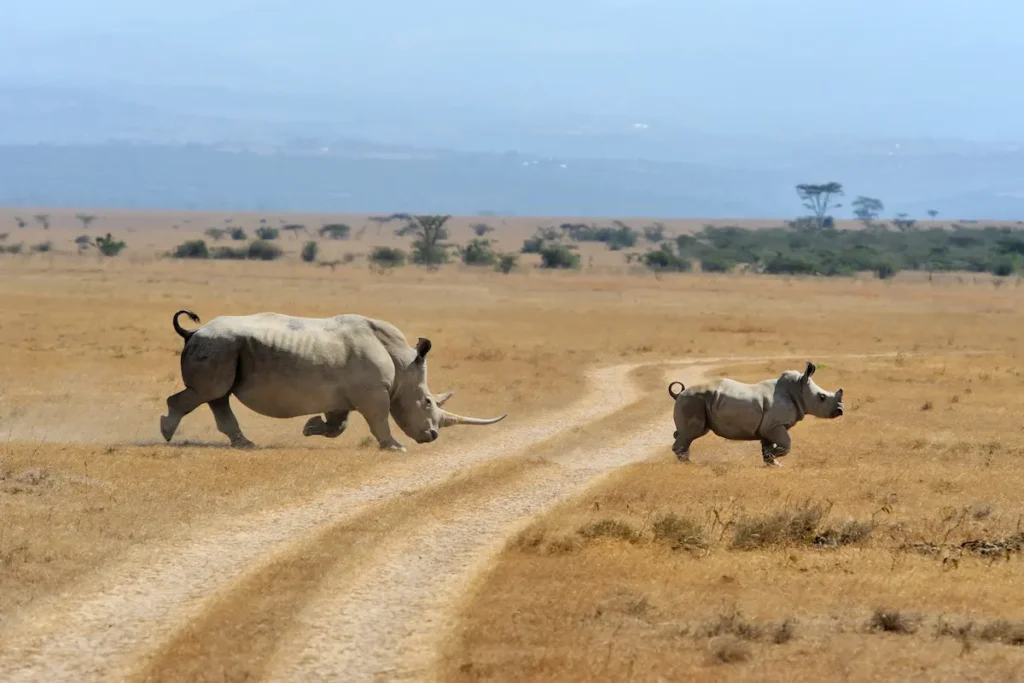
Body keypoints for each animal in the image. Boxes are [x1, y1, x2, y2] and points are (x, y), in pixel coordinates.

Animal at [160, 309, 507, 450]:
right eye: (427, 401)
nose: (433, 436)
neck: (403, 361)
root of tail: (192, 332)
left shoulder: (344, 394)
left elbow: (338, 424)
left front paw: (309, 427)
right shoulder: (373, 392)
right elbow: (379, 420)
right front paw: (395, 448)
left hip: (224, 349)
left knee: (217, 395)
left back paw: (244, 444)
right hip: (217, 346)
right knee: (209, 392)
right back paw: (166, 433)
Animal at [667, 361, 843, 467]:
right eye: (822, 397)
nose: (840, 410)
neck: (798, 391)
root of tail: (679, 394)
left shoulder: (769, 427)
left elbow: (768, 446)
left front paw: (773, 464)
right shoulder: (775, 425)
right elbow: (787, 444)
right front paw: (775, 457)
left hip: (695, 401)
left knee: (686, 433)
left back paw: (687, 461)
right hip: (692, 401)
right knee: (692, 433)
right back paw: (689, 465)